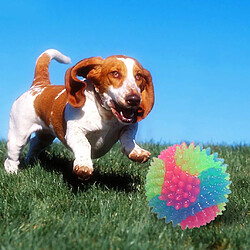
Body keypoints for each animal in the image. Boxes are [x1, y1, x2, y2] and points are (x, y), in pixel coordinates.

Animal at [4, 48, 154, 180]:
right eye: (115, 73)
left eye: (138, 76)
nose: (134, 99)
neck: (105, 114)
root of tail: (39, 86)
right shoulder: (75, 132)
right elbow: (84, 144)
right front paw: (83, 165)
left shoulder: (129, 126)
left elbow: (128, 137)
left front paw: (137, 152)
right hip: (19, 135)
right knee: (11, 157)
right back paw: (12, 172)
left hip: (45, 136)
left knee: (35, 143)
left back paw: (32, 161)